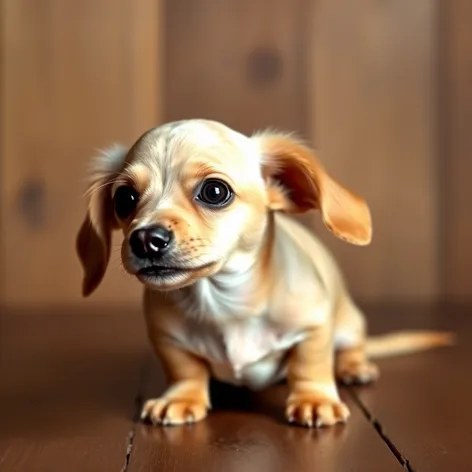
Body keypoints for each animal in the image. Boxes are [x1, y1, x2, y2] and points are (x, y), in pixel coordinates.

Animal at [77, 119, 454, 428]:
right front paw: (182, 398)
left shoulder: (314, 328)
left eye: (215, 191)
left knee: (352, 348)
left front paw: (314, 400)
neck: (225, 303)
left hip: (348, 324)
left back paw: (354, 368)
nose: (145, 239)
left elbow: (310, 365)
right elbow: (185, 370)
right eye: (124, 199)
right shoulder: (167, 339)